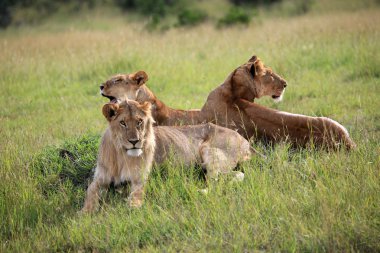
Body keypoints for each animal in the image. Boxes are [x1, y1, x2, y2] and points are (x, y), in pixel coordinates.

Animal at [83, 99, 255, 211]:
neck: (122, 156)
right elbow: (90, 193)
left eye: (139, 122)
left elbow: (136, 195)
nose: (134, 141)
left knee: (220, 181)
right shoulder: (100, 179)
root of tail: (246, 141)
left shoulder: (139, 179)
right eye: (122, 123)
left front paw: (133, 206)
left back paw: (200, 191)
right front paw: (85, 213)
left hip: (208, 150)